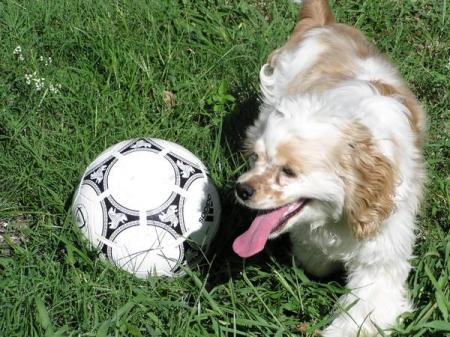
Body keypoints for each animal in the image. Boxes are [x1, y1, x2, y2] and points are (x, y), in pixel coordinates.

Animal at [232, 1, 426, 334]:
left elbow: (358, 318)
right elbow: (315, 257)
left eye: (289, 171)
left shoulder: (381, 262)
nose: (241, 189)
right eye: (255, 158)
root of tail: (324, 25)